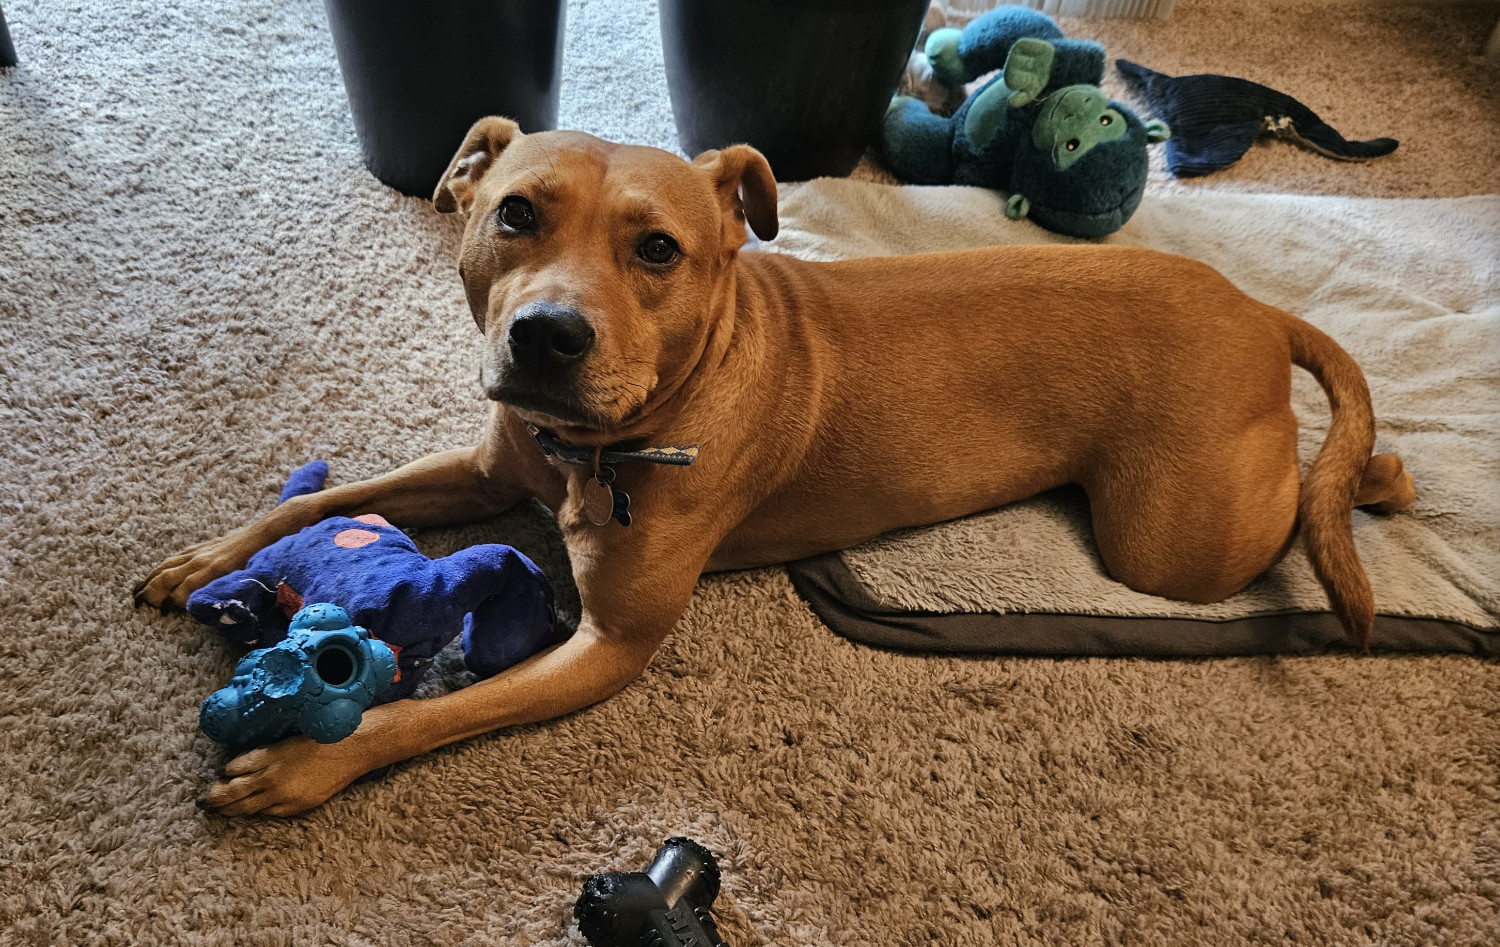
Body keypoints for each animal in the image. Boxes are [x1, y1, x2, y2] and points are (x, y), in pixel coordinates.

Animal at [135, 118, 1410, 816]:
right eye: (514, 214)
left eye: (658, 249)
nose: (546, 336)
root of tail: (1255, 308)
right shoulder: (487, 467)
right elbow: (336, 497)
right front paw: (207, 553)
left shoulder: (609, 645)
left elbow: (426, 714)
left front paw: (309, 759)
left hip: (1174, 542)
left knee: (1300, 491)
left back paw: (1377, 476)